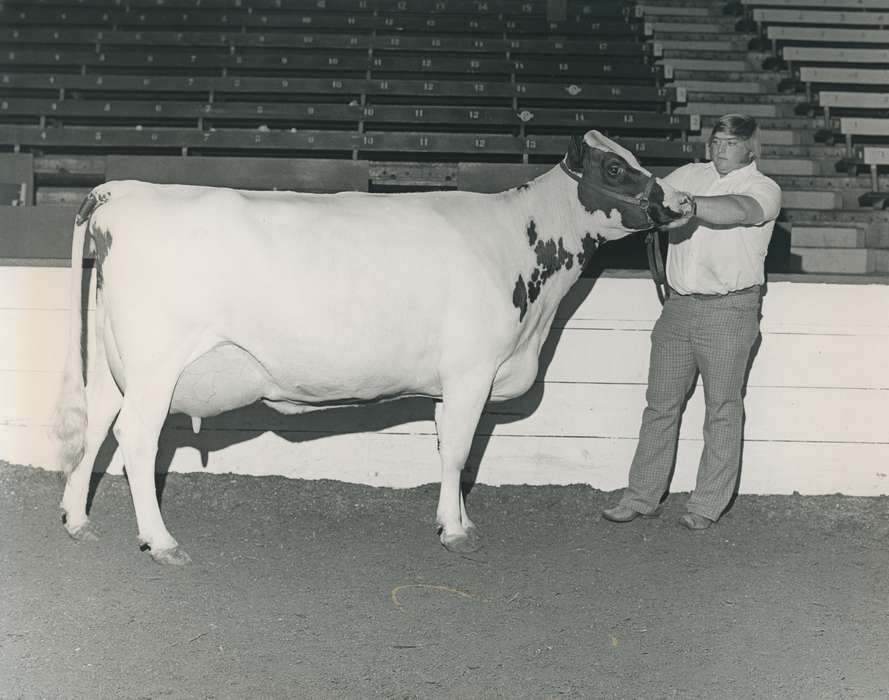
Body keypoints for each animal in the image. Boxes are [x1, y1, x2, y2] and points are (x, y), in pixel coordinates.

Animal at [53, 130, 688, 565]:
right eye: (615, 166)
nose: (680, 201)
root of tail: (118, 190)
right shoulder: (472, 370)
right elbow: (459, 453)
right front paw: (457, 532)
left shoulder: (454, 381)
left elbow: (449, 450)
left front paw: (455, 520)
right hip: (156, 362)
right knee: (136, 437)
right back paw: (161, 541)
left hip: (117, 362)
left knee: (98, 423)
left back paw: (77, 518)